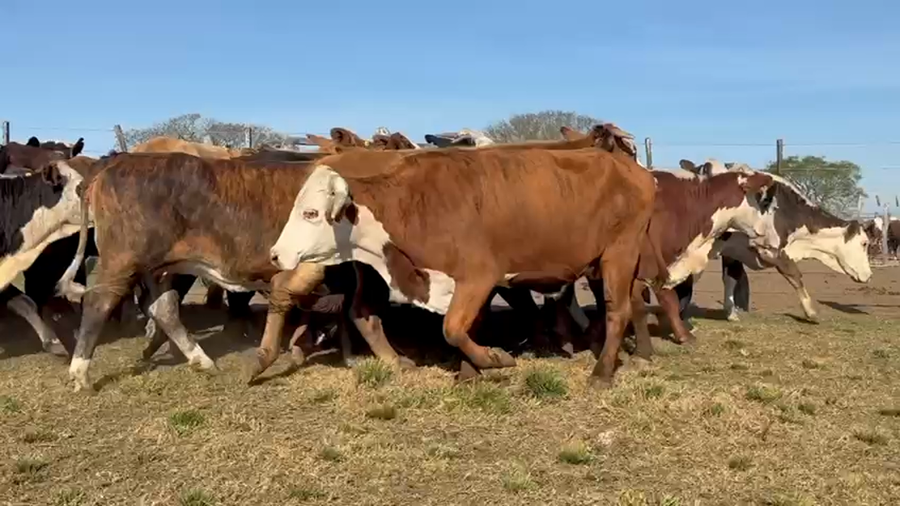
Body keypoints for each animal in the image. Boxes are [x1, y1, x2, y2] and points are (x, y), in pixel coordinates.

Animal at [268, 143, 666, 386]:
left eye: (311, 213)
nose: (275, 254)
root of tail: (634, 170)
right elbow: (466, 326)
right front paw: (470, 372)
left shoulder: (479, 276)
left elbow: (453, 328)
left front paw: (493, 360)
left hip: (618, 254)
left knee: (617, 310)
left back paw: (602, 372)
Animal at [673, 160, 872, 323]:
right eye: (864, 243)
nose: (869, 275)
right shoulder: (770, 250)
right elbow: (795, 275)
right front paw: (812, 312)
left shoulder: (732, 252)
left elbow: (730, 279)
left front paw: (731, 313)